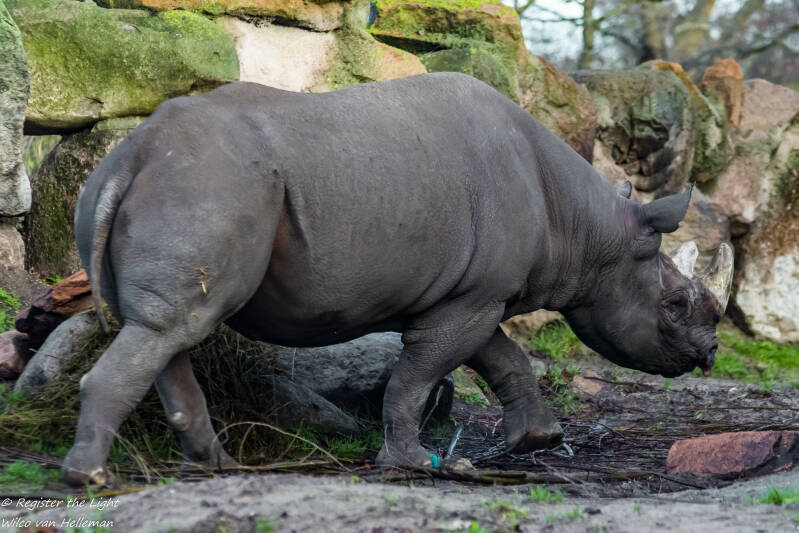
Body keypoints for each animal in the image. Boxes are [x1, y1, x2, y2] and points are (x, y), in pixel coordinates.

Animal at [63, 72, 733, 485]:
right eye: (675, 304)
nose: (708, 354)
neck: (590, 231)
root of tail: (132, 153)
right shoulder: (472, 298)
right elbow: (417, 378)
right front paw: (415, 464)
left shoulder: (474, 292)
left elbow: (501, 359)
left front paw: (535, 442)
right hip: (211, 186)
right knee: (174, 326)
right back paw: (93, 478)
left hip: (152, 187)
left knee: (166, 330)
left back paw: (215, 468)